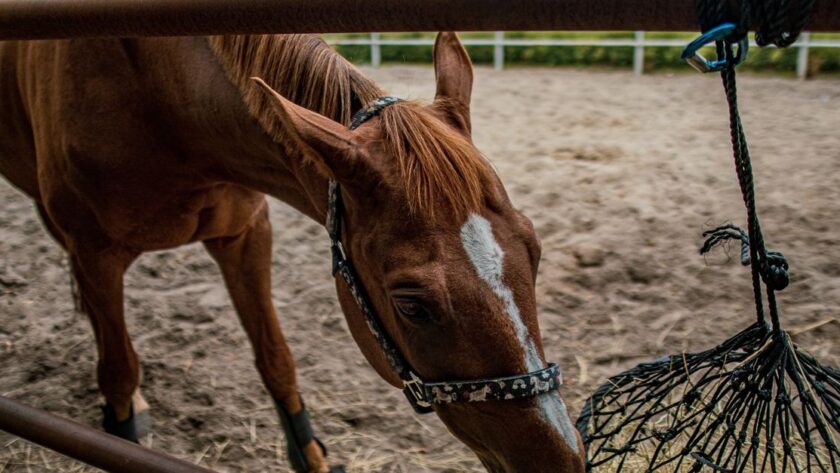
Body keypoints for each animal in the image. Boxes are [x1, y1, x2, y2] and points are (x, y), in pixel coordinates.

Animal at [0, 32, 585, 472]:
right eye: (412, 304)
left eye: (534, 251)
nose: (557, 458)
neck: (155, 96)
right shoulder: (95, 253)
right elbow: (119, 372)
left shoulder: (245, 237)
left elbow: (277, 361)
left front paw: (311, 456)